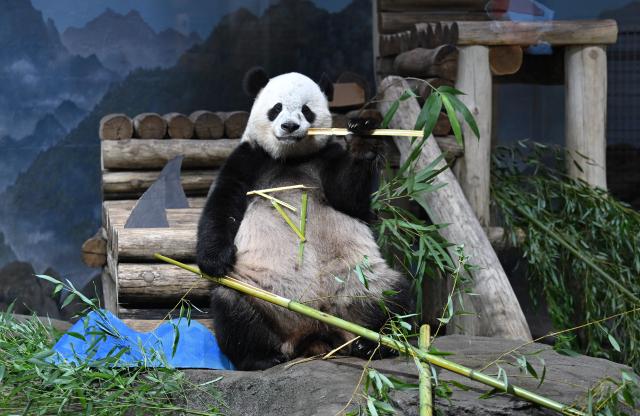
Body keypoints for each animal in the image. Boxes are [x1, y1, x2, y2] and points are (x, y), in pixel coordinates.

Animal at [196, 69, 413, 371]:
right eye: (276, 109)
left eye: (306, 110)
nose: (289, 126)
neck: (290, 158)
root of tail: (315, 333)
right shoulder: (249, 158)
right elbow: (223, 203)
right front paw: (215, 260)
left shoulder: (326, 157)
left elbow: (349, 199)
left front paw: (362, 138)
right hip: (258, 292)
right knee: (233, 307)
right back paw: (263, 357)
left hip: (360, 284)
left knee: (395, 297)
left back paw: (374, 344)